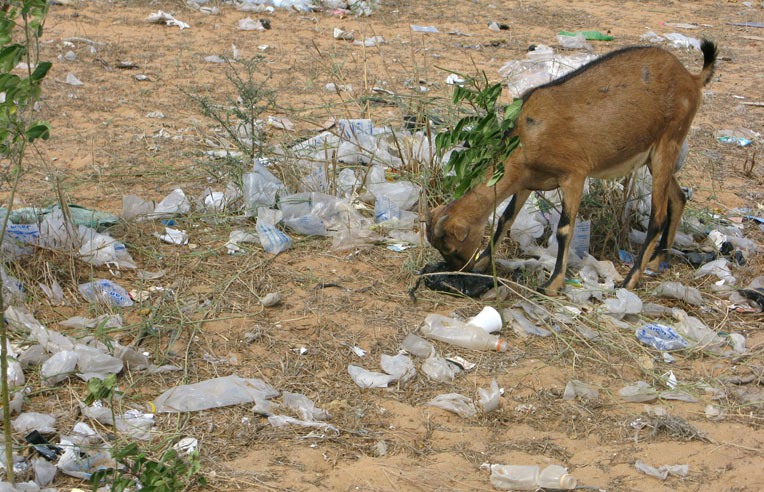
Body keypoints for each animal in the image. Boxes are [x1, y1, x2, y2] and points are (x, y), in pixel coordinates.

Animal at [426, 40, 720, 294]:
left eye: (450, 248)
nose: (459, 270)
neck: (529, 136)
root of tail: (692, 78)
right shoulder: (527, 181)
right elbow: (504, 219)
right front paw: (483, 263)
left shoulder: (574, 175)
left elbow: (564, 230)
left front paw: (552, 284)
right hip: (655, 156)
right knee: (678, 198)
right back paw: (658, 261)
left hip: (667, 144)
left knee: (657, 217)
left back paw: (630, 280)